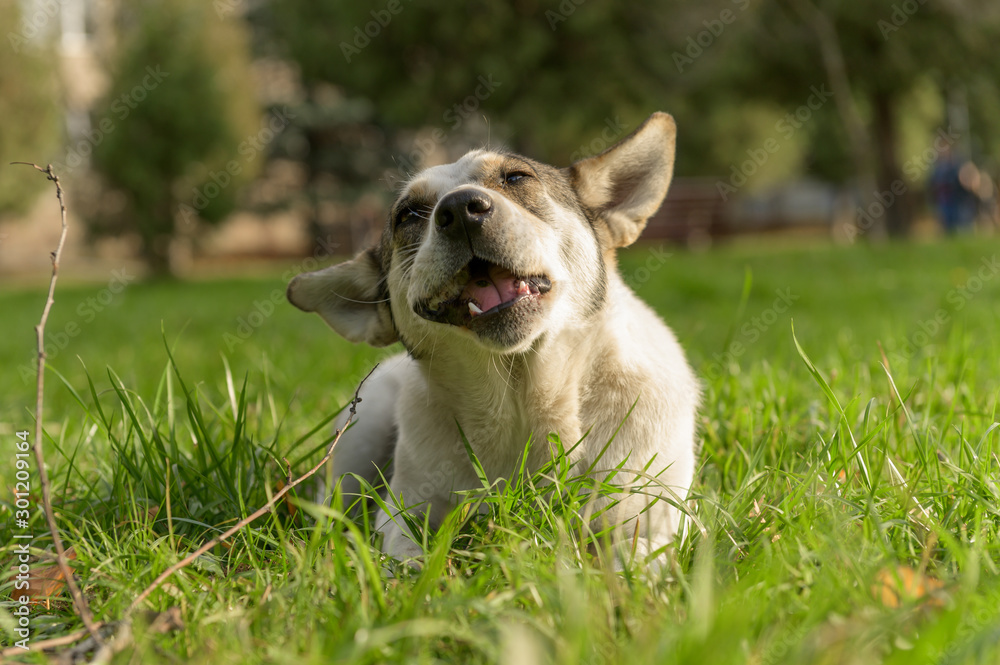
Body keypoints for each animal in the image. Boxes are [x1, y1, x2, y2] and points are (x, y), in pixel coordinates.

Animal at [286, 111, 700, 564]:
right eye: (409, 214)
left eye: (516, 177)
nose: (459, 209)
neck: (523, 400)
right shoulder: (403, 512)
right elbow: (405, 553)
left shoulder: (652, 520)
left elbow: (635, 556)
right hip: (361, 432)